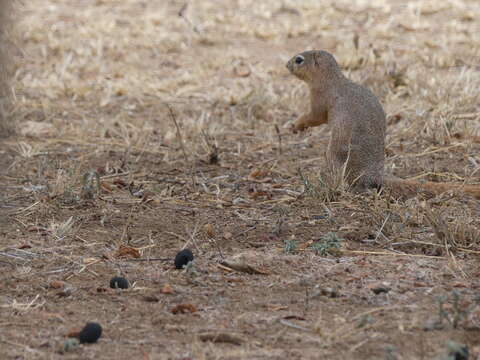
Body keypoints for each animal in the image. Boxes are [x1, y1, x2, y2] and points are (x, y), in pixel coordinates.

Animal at [286, 49, 478, 198]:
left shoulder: (320, 99)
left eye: (299, 59)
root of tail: (375, 176)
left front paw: (296, 125)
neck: (331, 79)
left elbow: (314, 117)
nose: (286, 65)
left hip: (335, 155)